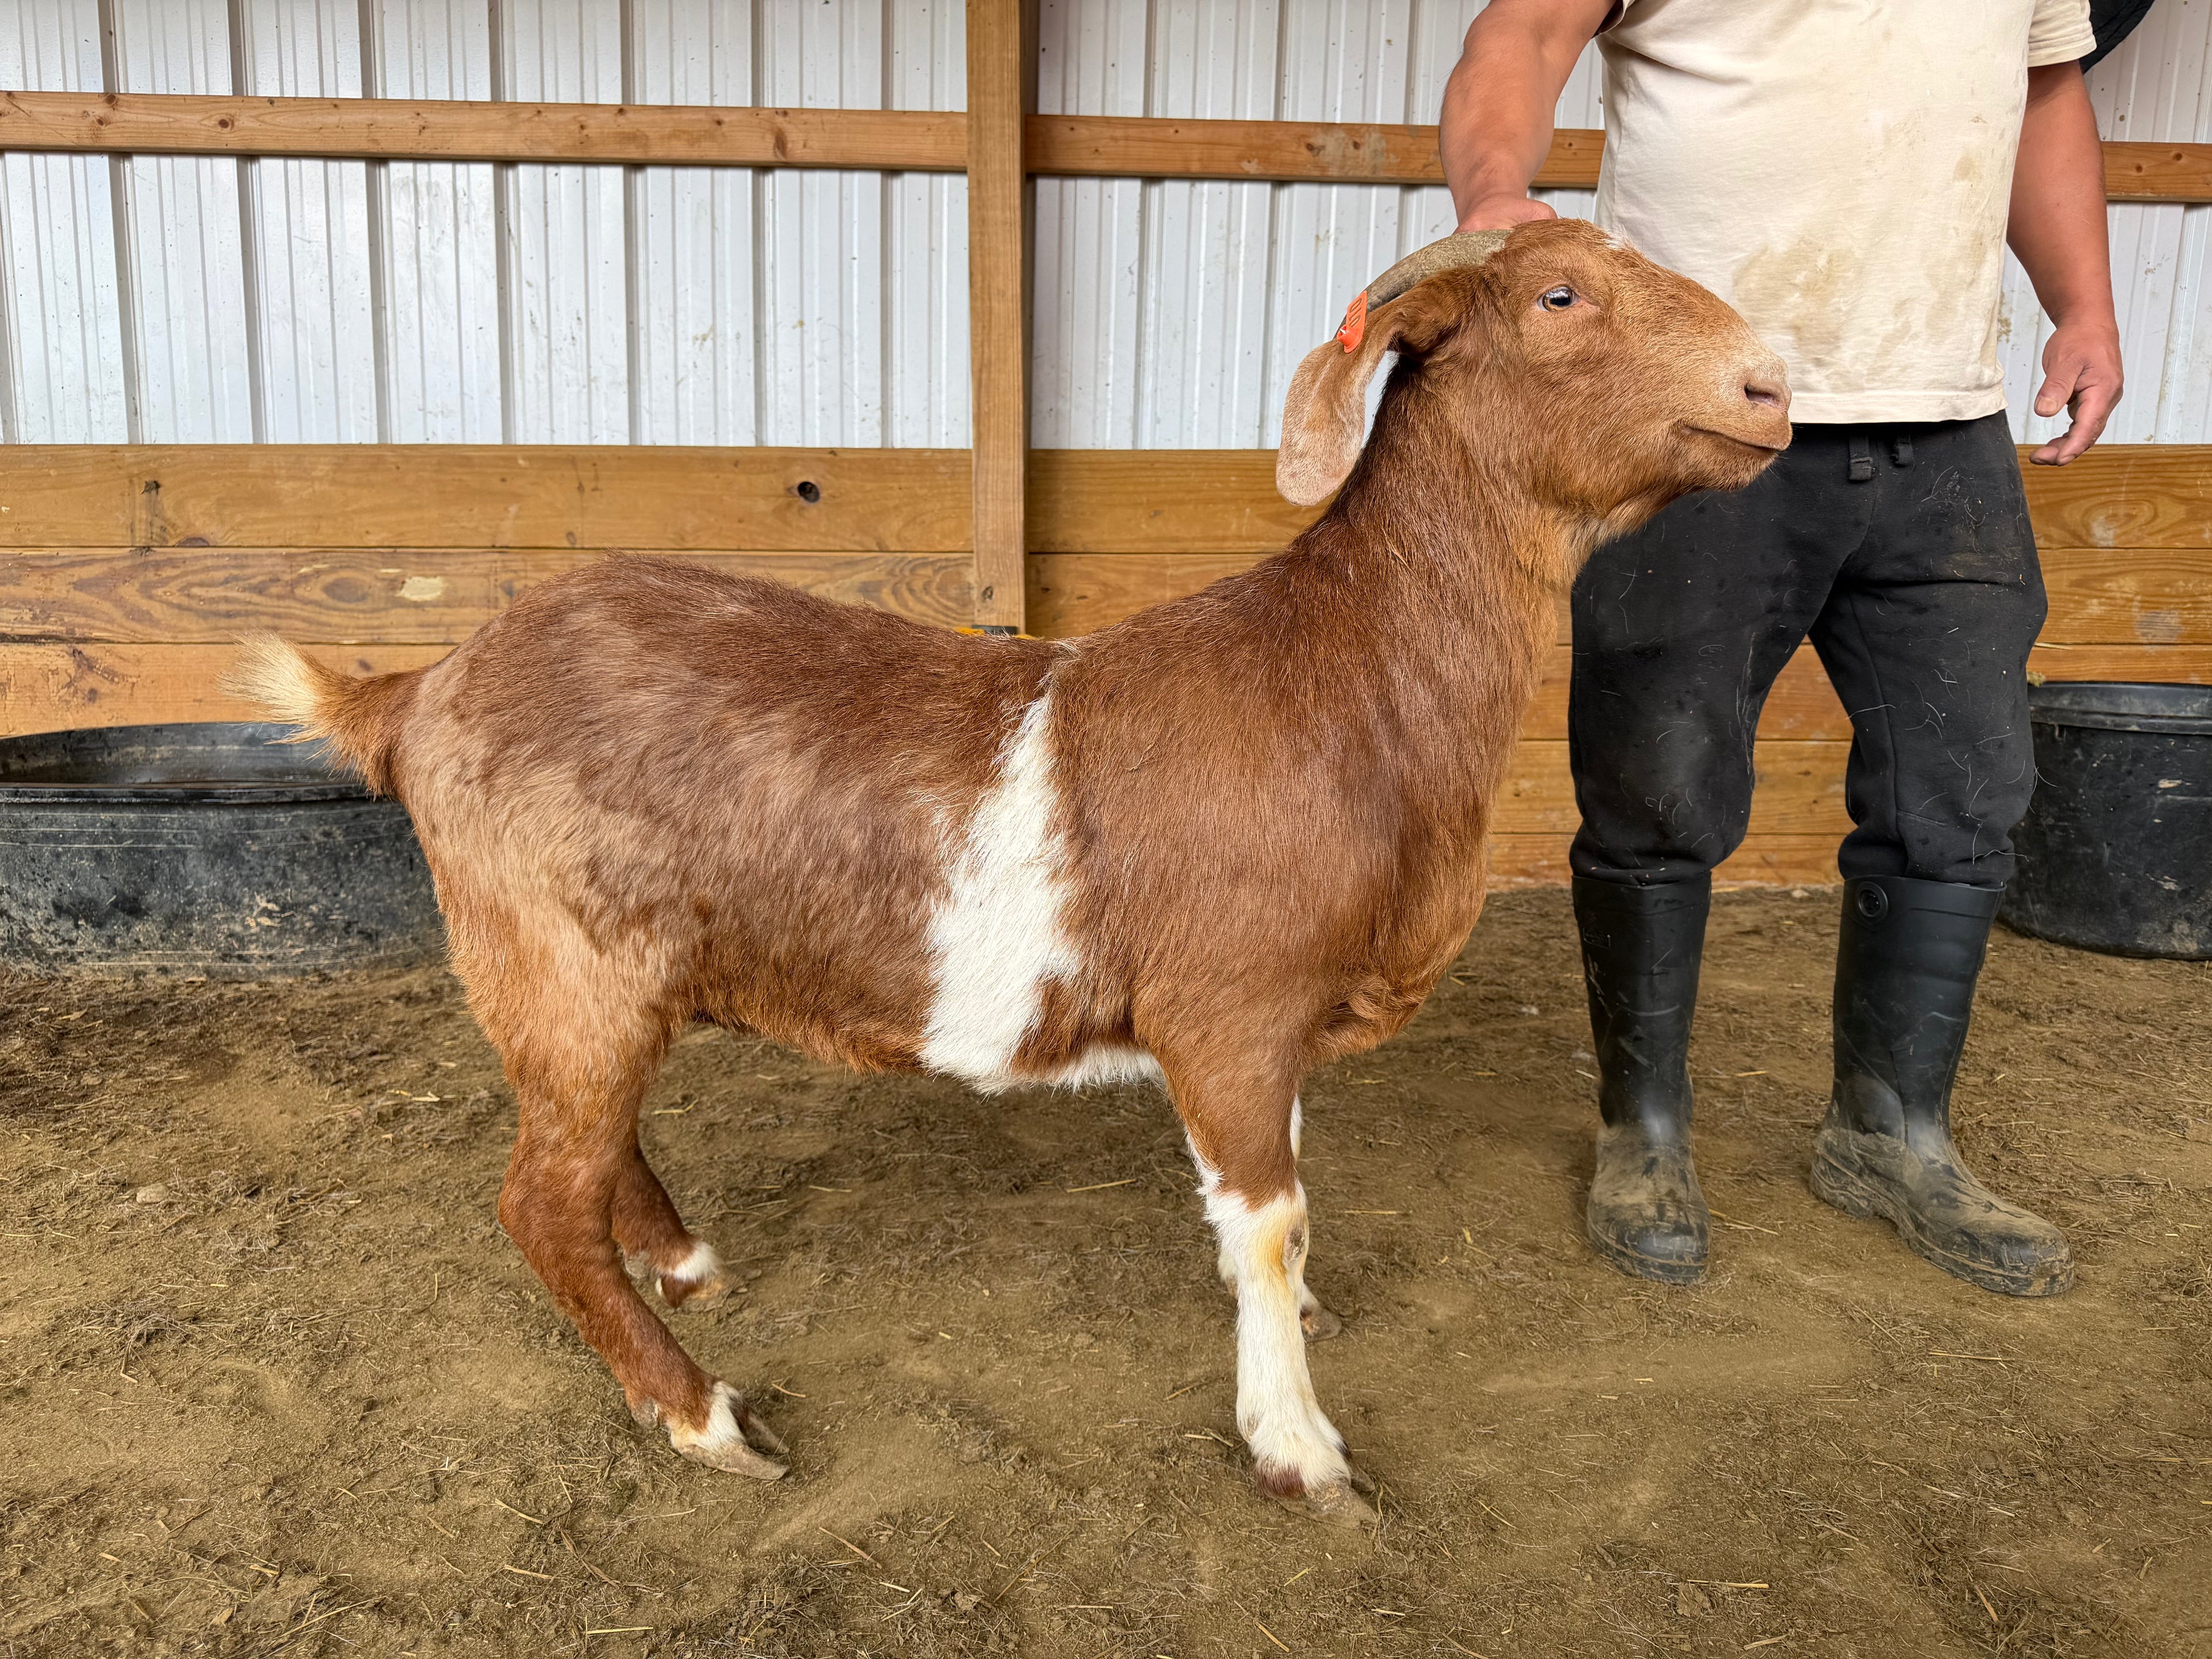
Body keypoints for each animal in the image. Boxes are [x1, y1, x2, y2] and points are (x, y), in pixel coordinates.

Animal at [229, 219, 1790, 1526]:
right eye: (1558, 296)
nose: (1774, 386)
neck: (1341, 676)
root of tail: (415, 692)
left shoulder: (1273, 1027)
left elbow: (1283, 1212)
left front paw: (1301, 1339)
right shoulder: (1225, 1011)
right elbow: (1266, 1222)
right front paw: (1299, 1446)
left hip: (578, 980)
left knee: (584, 1151)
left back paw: (681, 1261)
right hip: (560, 956)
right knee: (537, 1202)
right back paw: (704, 1414)